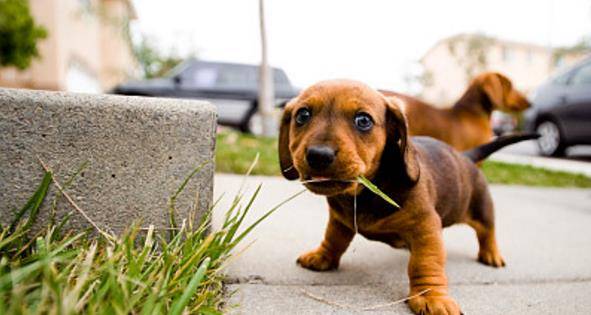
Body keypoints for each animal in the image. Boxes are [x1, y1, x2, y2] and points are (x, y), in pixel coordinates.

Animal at [280, 81, 536, 315]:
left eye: (363, 120)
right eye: (302, 115)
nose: (319, 155)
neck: (365, 193)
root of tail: (466, 156)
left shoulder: (426, 228)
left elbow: (425, 262)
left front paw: (431, 296)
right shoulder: (340, 219)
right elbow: (333, 239)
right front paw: (322, 256)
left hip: (482, 208)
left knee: (487, 232)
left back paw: (491, 254)